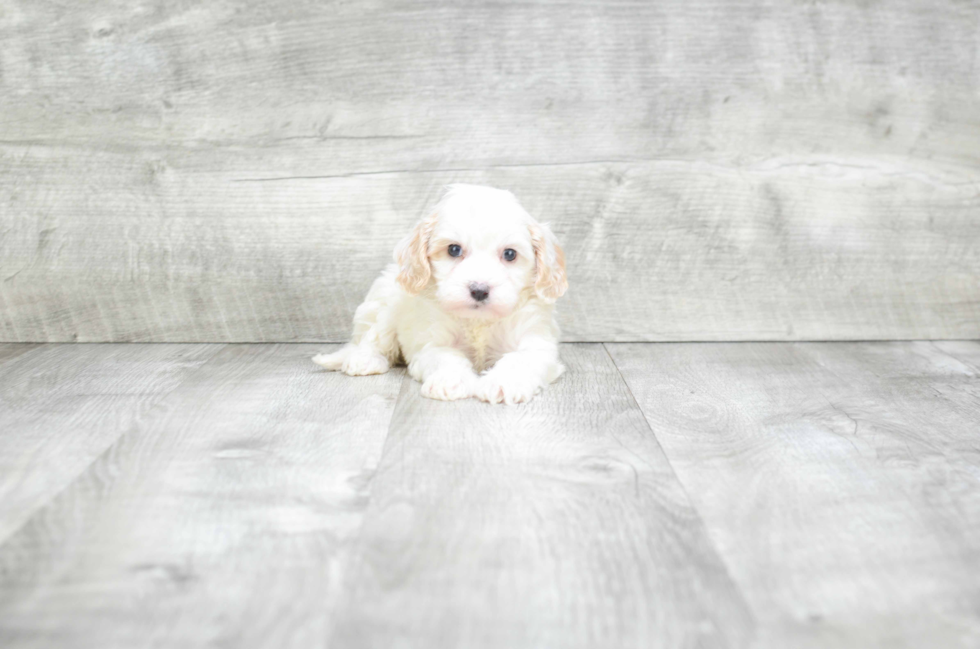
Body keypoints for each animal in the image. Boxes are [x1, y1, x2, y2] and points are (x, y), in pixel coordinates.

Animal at [310, 182, 572, 402]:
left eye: (509, 254)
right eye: (454, 250)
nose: (479, 290)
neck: (478, 322)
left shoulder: (535, 340)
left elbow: (520, 359)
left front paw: (503, 383)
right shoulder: (431, 341)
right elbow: (446, 357)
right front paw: (450, 381)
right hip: (383, 305)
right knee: (372, 339)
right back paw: (365, 361)